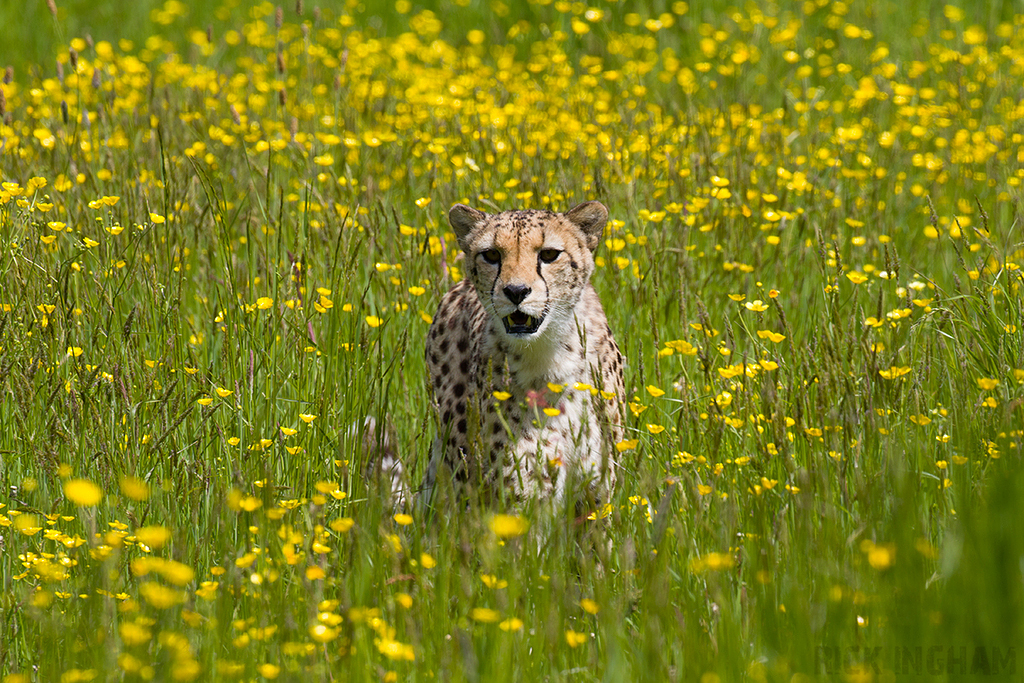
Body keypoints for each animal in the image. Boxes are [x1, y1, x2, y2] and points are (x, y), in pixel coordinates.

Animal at [421, 200, 622, 505]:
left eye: (549, 254)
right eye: (491, 254)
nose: (516, 291)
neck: (550, 352)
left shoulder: (596, 492)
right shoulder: (521, 486)